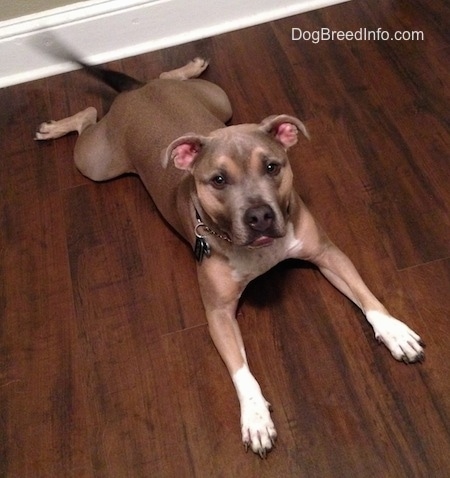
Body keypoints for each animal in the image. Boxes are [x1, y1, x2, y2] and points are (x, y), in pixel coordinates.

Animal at [36, 58, 426, 458]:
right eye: (219, 180)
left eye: (272, 167)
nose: (260, 216)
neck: (257, 250)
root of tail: (137, 92)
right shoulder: (218, 314)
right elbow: (240, 370)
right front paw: (255, 416)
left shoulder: (328, 254)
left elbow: (367, 296)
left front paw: (394, 331)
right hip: (97, 163)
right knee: (87, 116)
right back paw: (56, 127)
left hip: (219, 103)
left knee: (161, 78)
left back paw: (188, 67)